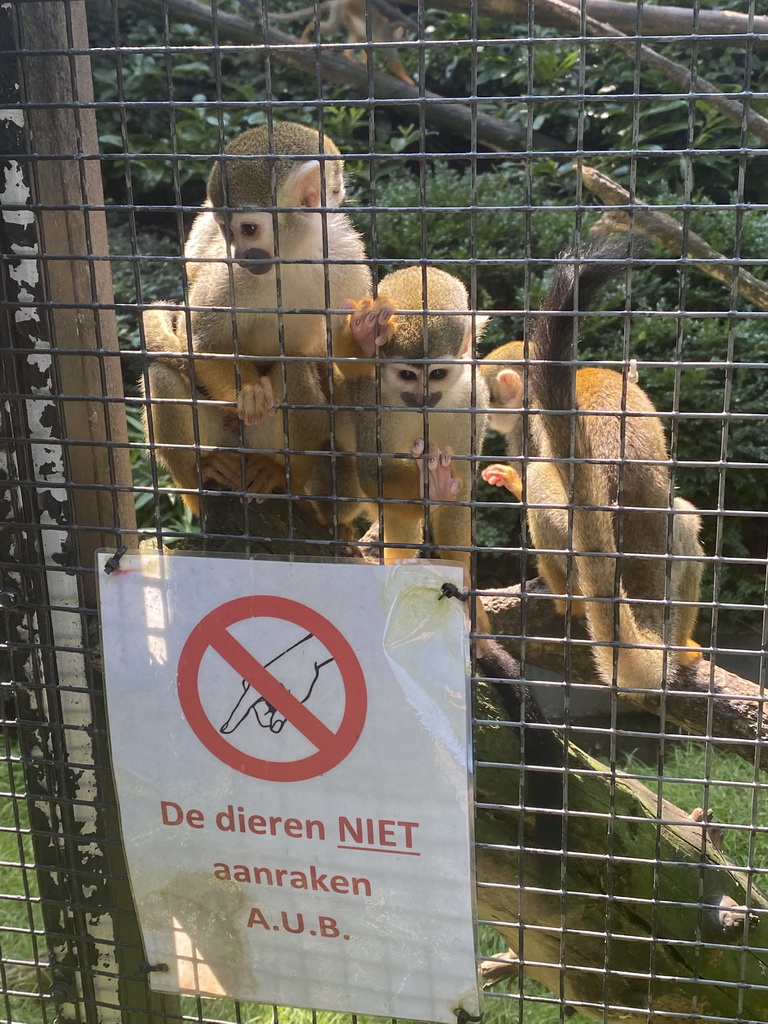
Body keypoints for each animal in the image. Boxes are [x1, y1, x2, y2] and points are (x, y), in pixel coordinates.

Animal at [483, 242, 708, 688]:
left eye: (485, 396)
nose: (481, 415)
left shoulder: (529, 423)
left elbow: (532, 472)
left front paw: (513, 480)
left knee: (544, 482)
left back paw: (561, 595)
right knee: (685, 515)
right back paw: (681, 645)